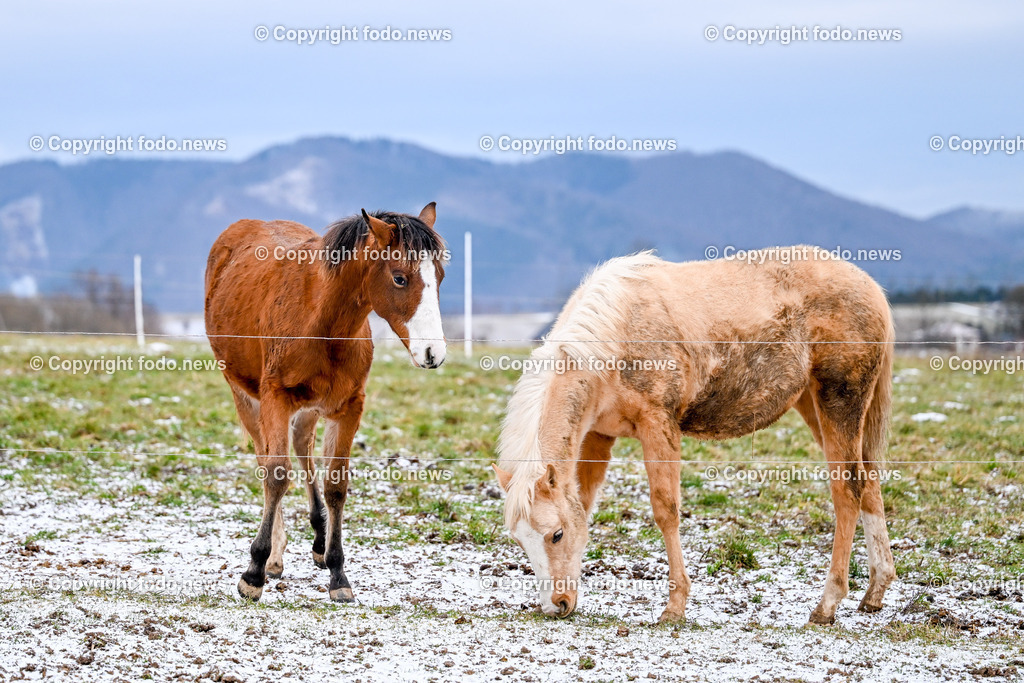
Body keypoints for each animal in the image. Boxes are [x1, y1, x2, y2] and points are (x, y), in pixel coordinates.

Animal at [204, 203, 447, 603]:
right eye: (400, 278)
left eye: (439, 276)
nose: (433, 354)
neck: (322, 322)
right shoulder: (274, 398)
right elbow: (276, 475)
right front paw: (254, 571)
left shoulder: (349, 407)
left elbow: (336, 484)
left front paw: (337, 572)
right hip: (244, 395)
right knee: (266, 458)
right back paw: (274, 556)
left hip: (309, 409)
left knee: (303, 447)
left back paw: (317, 539)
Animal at [493, 249, 896, 625]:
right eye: (521, 540)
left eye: (556, 534)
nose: (556, 605)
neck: (616, 336)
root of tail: (871, 287)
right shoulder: (597, 436)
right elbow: (586, 505)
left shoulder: (658, 426)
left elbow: (665, 511)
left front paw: (674, 607)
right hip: (814, 406)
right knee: (869, 482)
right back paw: (875, 591)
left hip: (838, 402)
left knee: (847, 491)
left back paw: (827, 604)